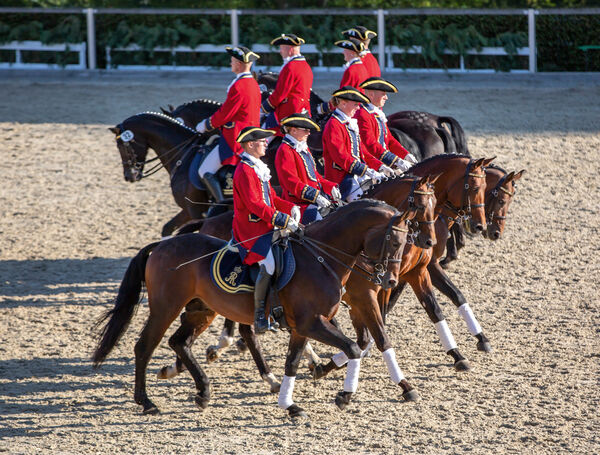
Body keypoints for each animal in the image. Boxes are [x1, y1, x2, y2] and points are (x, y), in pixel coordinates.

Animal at [91, 201, 414, 418]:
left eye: (406, 242)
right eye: (393, 241)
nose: (390, 280)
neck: (321, 257)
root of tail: (161, 245)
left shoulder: (303, 327)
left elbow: (293, 363)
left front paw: (290, 404)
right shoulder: (312, 323)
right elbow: (353, 347)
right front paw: (345, 395)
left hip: (202, 310)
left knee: (179, 342)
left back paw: (203, 391)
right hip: (165, 308)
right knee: (145, 346)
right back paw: (146, 402)